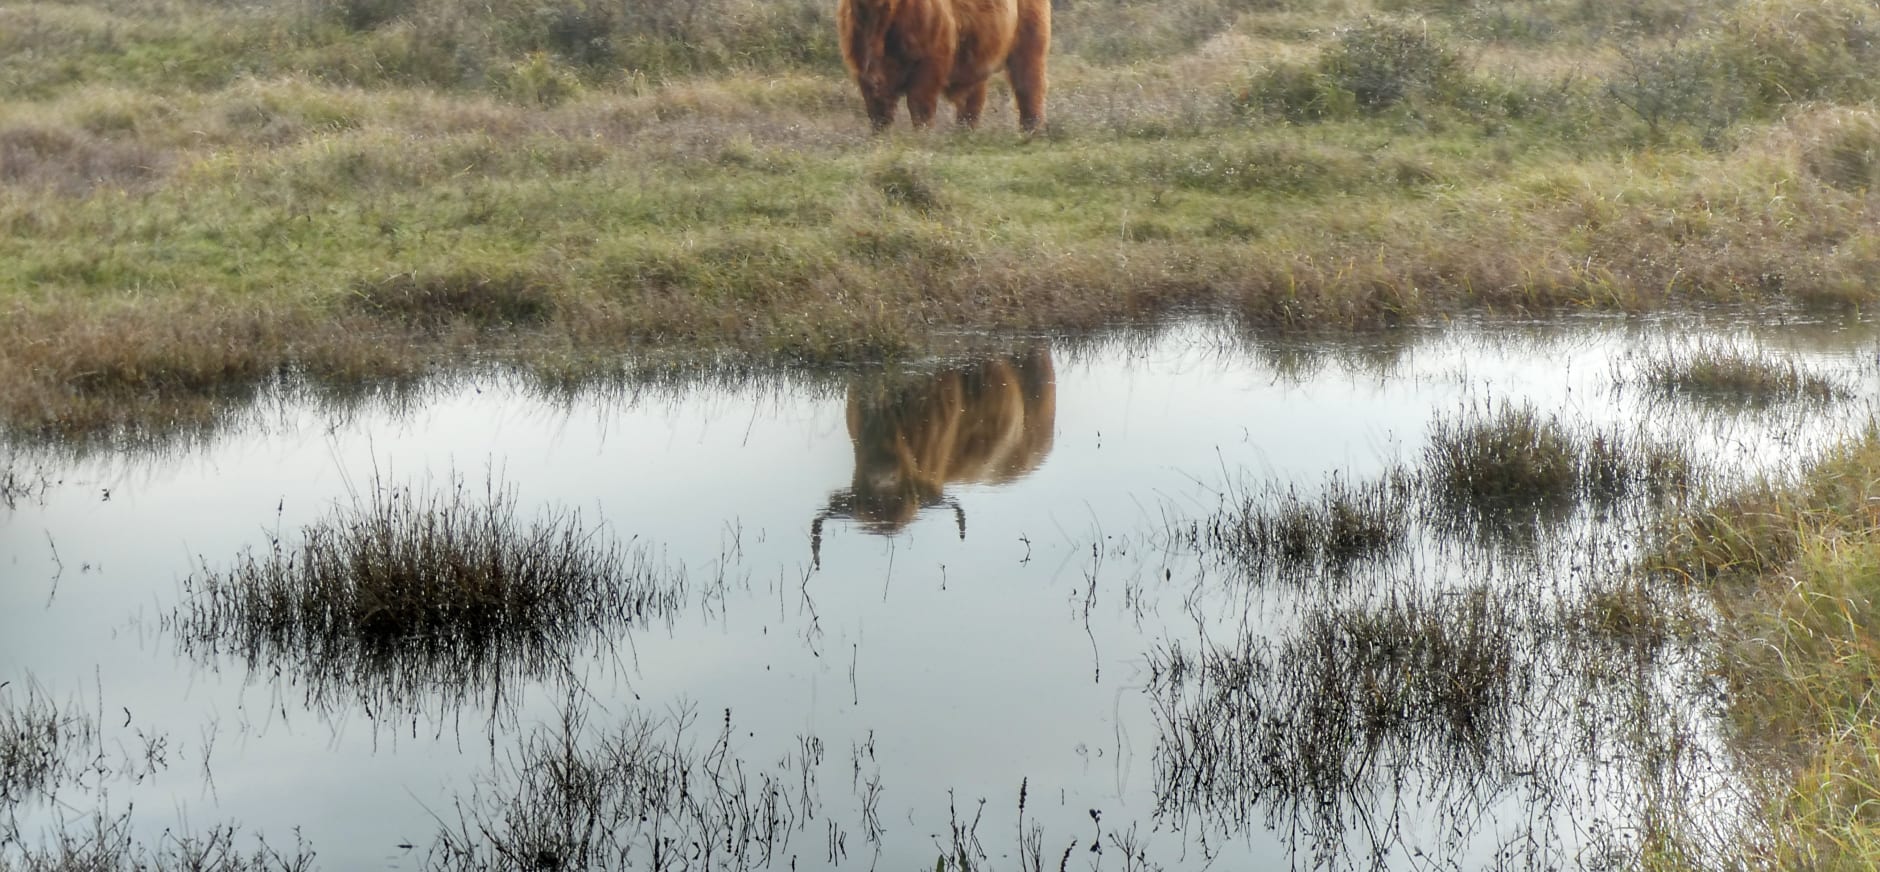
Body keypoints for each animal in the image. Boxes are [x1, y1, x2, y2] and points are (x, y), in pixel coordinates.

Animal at [842, 0, 1052, 131]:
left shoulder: (931, 60)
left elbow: (920, 106)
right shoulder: (864, 71)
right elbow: (878, 113)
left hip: (1030, 40)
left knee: (1029, 86)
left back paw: (1030, 130)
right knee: (974, 100)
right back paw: (964, 132)